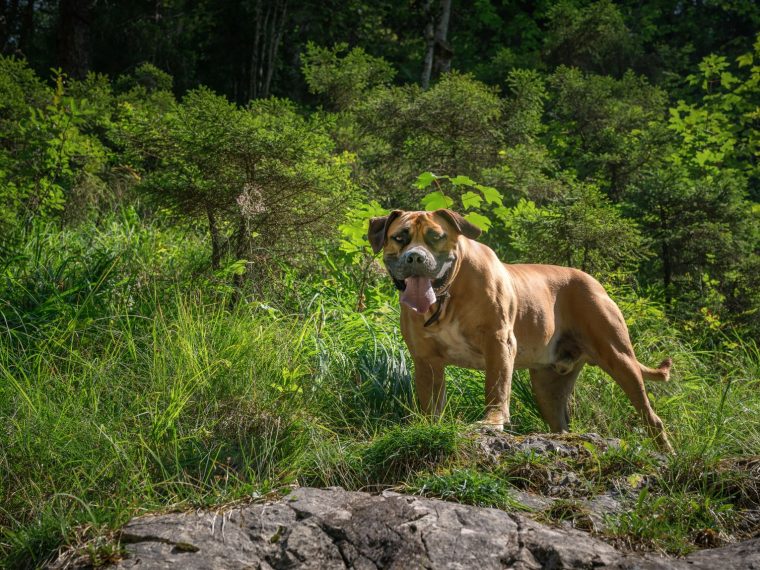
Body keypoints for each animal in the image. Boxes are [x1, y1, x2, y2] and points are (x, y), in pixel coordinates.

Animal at [368, 206, 672, 450]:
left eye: (436, 237)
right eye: (400, 237)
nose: (415, 257)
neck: (446, 297)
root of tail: (595, 282)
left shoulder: (498, 343)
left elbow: (496, 386)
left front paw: (491, 423)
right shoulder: (426, 359)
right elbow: (430, 401)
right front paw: (429, 426)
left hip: (619, 358)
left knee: (652, 417)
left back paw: (666, 452)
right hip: (548, 385)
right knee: (560, 422)